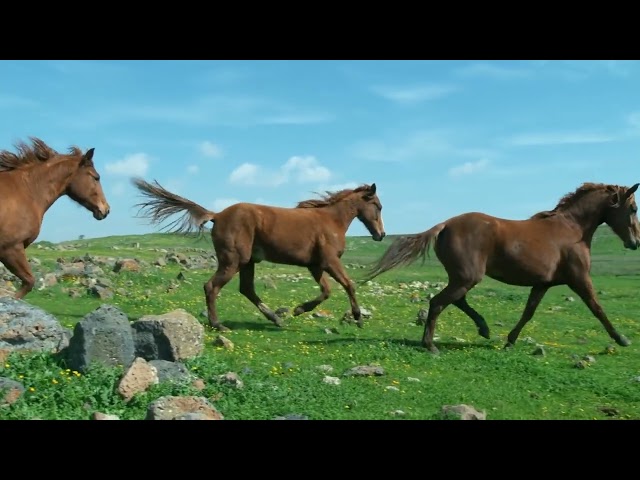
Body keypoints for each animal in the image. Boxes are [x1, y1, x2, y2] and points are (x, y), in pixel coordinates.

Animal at [131, 177, 386, 331]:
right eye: (378, 206)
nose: (381, 234)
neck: (331, 221)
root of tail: (218, 215)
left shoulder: (315, 265)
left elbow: (326, 291)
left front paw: (298, 310)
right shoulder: (329, 262)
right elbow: (348, 285)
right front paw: (358, 318)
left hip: (248, 262)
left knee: (247, 289)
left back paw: (276, 318)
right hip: (234, 260)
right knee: (211, 286)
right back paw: (218, 325)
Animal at [364, 182, 640, 354]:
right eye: (634, 208)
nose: (635, 242)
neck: (572, 229)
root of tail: (445, 225)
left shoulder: (542, 284)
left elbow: (528, 313)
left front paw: (510, 340)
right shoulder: (580, 278)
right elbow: (597, 308)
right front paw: (622, 339)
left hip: (463, 277)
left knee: (456, 300)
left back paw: (484, 329)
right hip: (467, 277)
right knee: (438, 302)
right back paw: (431, 345)